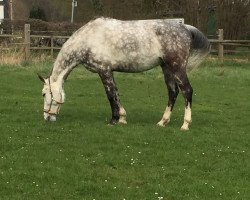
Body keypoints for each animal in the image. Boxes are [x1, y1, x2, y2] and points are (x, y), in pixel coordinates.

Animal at [38, 16, 210, 130]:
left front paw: (114, 120)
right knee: (173, 92)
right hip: (167, 68)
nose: (46, 117)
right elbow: (116, 93)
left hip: (177, 67)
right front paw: (122, 118)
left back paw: (185, 124)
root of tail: (185, 28)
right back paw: (163, 122)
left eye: (44, 94)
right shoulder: (109, 71)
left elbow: (110, 95)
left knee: (187, 91)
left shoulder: (104, 71)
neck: (87, 40)